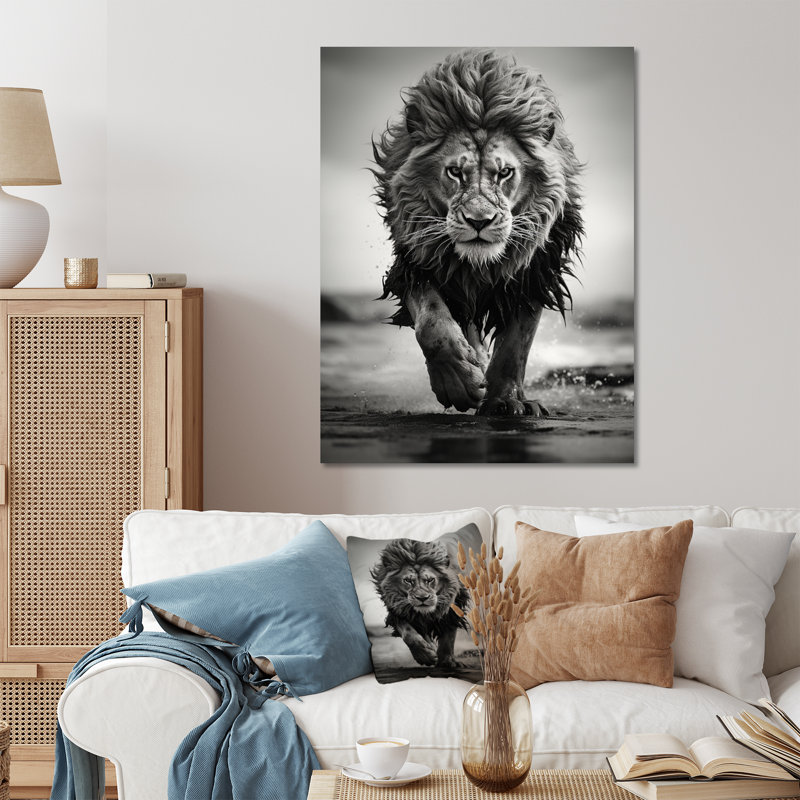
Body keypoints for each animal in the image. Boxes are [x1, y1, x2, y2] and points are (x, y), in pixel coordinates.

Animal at [370, 537, 471, 669]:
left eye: (430, 580)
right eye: (408, 581)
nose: (422, 598)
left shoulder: (453, 609)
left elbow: (448, 638)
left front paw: (448, 662)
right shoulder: (399, 611)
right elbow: (409, 635)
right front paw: (425, 656)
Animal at [373, 49, 584, 416]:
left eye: (505, 173)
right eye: (455, 172)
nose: (479, 221)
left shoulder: (535, 272)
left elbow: (515, 346)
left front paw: (506, 400)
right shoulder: (416, 261)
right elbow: (432, 324)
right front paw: (458, 382)